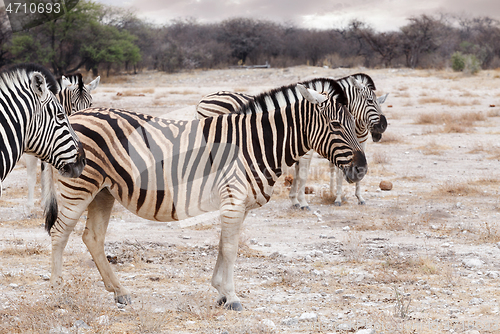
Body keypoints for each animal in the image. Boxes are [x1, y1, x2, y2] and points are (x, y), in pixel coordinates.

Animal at [45, 79, 368, 312]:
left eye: (355, 125)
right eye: (336, 125)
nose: (362, 169)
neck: (254, 144)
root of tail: (75, 115)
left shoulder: (236, 204)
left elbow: (223, 246)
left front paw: (221, 292)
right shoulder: (233, 200)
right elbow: (231, 249)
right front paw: (232, 297)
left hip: (103, 191)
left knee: (93, 237)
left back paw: (120, 292)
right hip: (80, 187)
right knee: (60, 233)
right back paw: (59, 294)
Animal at [197, 73, 388, 209]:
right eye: (370, 101)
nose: (383, 125)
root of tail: (203, 100)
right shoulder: (307, 152)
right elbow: (303, 175)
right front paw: (303, 202)